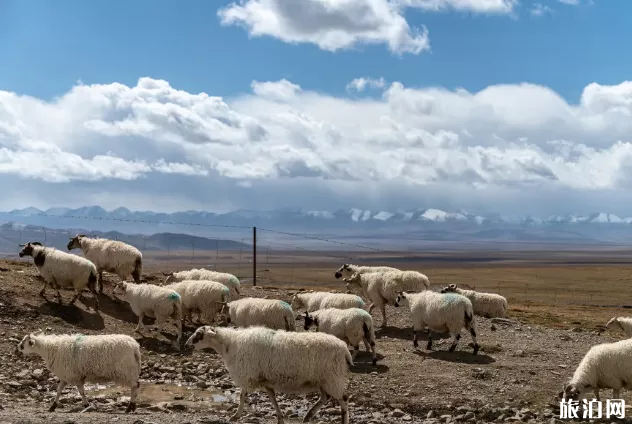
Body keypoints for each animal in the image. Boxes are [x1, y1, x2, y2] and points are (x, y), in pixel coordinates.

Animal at [185, 324, 354, 424]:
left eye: (198, 334)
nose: (186, 345)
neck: (231, 344)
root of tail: (345, 349)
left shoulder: (248, 374)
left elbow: (242, 396)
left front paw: (235, 415)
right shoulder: (265, 380)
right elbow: (273, 399)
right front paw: (280, 418)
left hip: (333, 377)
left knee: (344, 398)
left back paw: (341, 420)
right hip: (323, 380)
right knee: (325, 397)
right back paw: (308, 416)